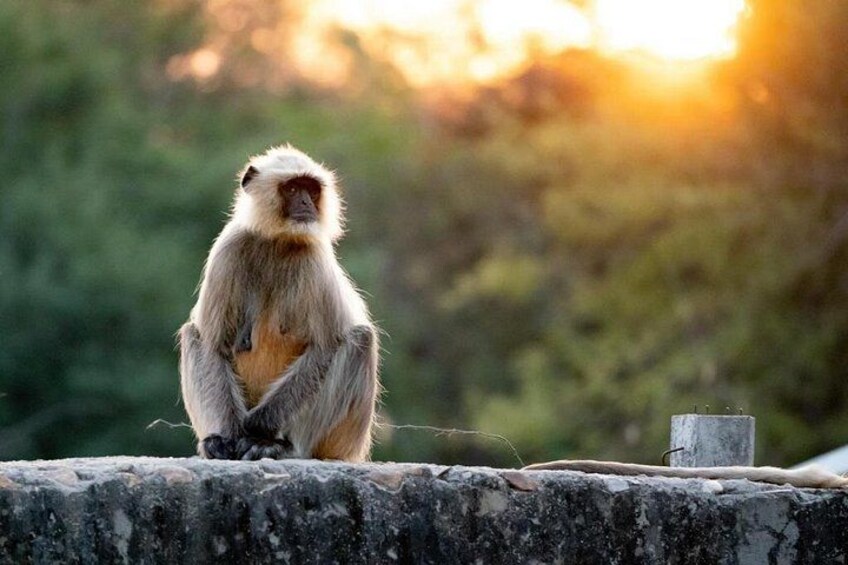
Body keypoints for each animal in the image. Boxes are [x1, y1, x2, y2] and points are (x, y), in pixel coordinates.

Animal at [179, 145, 379, 462]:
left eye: (312, 189)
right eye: (293, 188)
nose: (306, 202)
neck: (278, 241)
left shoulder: (314, 257)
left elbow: (327, 346)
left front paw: (256, 428)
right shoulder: (228, 248)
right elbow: (214, 346)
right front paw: (228, 438)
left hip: (344, 440)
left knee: (360, 338)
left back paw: (281, 445)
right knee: (192, 334)